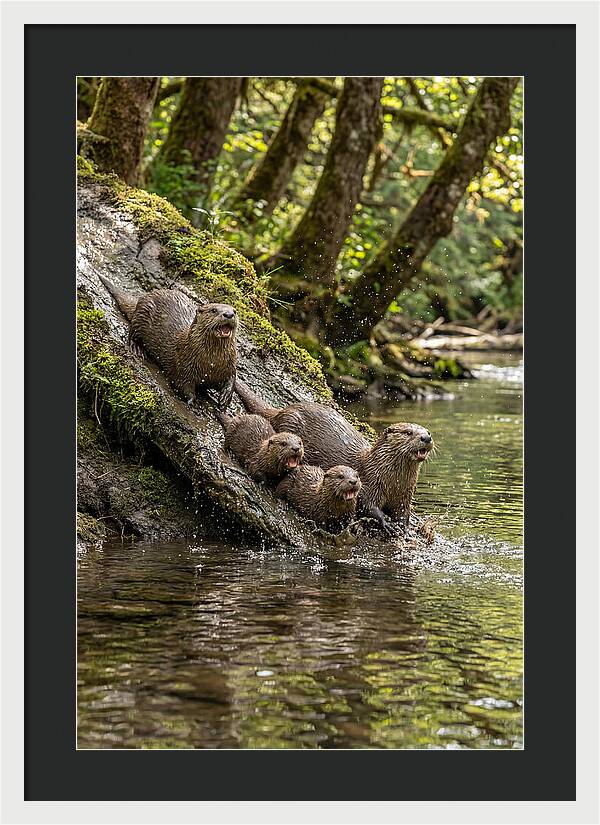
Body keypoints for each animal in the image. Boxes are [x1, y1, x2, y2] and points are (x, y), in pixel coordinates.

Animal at [99, 275, 238, 409]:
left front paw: (225, 396)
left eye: (235, 311)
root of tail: (145, 296)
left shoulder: (229, 364)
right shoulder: (183, 365)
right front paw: (194, 402)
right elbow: (183, 385)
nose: (229, 314)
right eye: (213, 310)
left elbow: (232, 378)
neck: (211, 364)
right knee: (132, 331)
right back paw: (136, 348)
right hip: (142, 314)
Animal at [235, 380, 433, 535]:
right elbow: (368, 506)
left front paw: (404, 527)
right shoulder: (370, 483)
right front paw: (387, 522)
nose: (426, 437)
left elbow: (403, 513)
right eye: (408, 432)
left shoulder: (404, 495)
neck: (393, 481)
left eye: (428, 431)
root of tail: (282, 411)